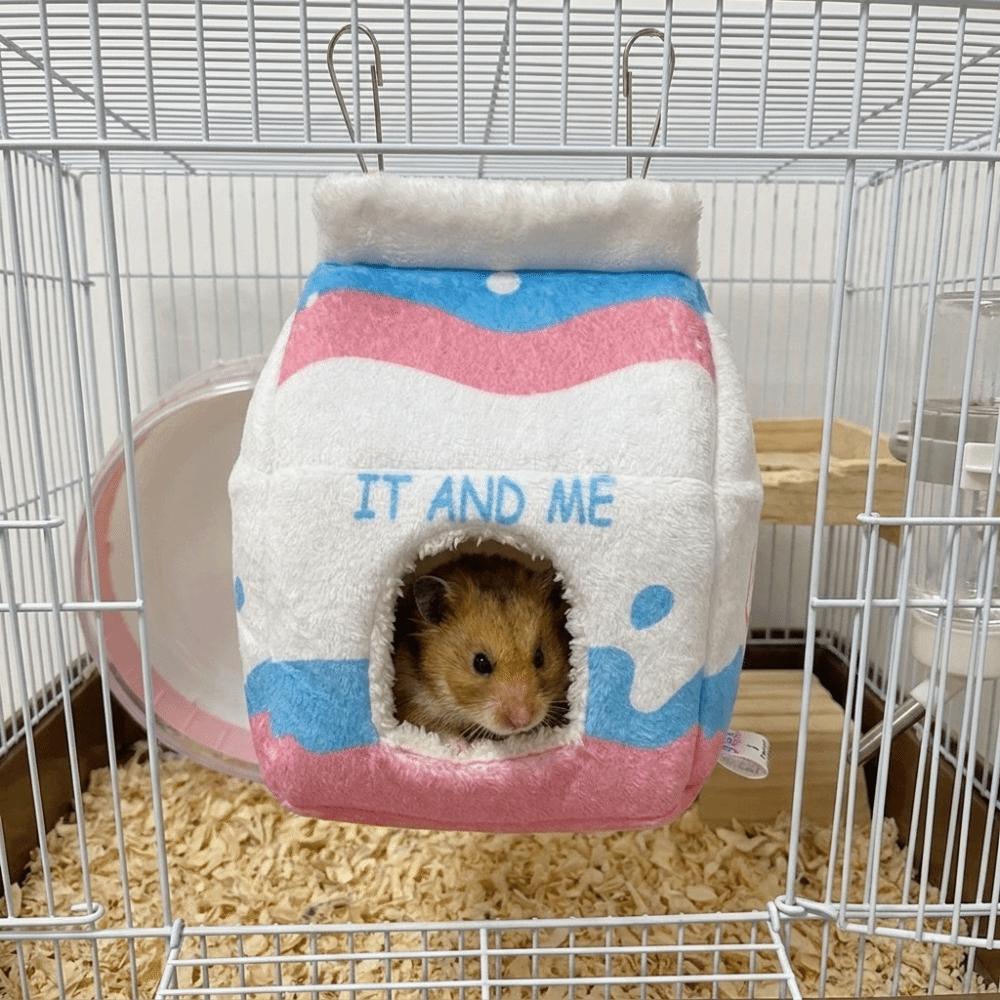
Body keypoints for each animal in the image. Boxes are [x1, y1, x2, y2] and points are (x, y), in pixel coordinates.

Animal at [392, 555, 572, 741]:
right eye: (480, 663)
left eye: (540, 658)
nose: (523, 721)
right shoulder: (411, 702)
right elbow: (439, 731)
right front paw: (461, 746)